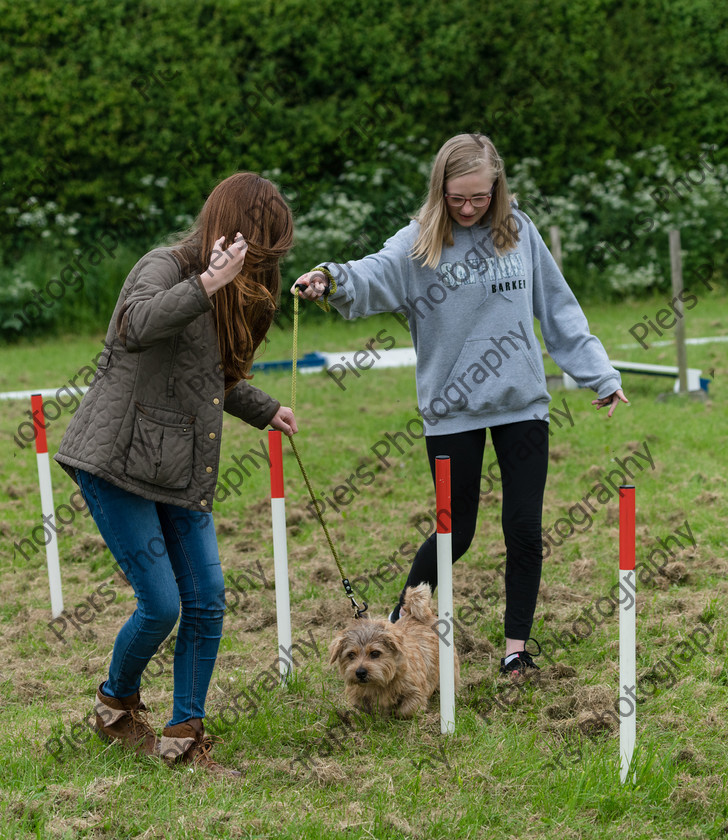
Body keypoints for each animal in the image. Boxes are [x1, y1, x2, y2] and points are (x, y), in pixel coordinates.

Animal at [330, 584, 460, 716]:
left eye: (375, 653)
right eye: (351, 654)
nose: (360, 672)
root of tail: (413, 614)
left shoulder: (415, 692)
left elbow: (406, 710)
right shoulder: (356, 695)